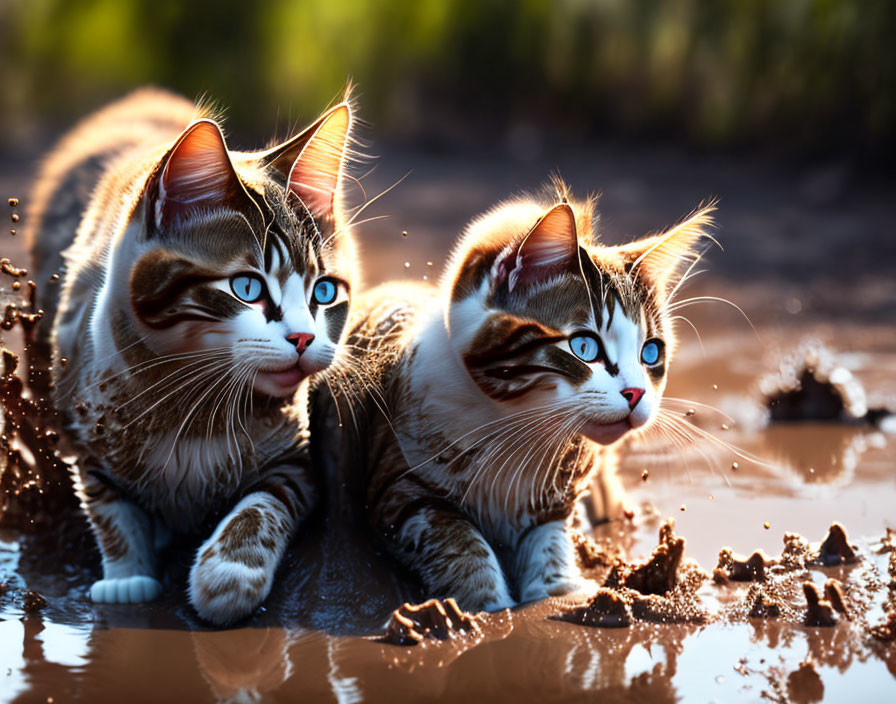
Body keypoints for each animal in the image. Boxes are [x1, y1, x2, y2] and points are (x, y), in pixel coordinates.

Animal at [23, 88, 356, 620]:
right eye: (246, 287)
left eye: (323, 292)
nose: (305, 339)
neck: (194, 406)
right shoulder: (84, 414)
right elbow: (108, 504)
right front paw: (127, 575)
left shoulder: (295, 456)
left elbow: (266, 502)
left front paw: (228, 573)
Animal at [316, 187, 712, 612]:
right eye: (584, 347)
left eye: (650, 353)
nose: (636, 394)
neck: (518, 430)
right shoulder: (400, 490)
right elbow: (462, 547)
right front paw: (489, 606)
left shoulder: (556, 502)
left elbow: (548, 547)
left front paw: (559, 592)